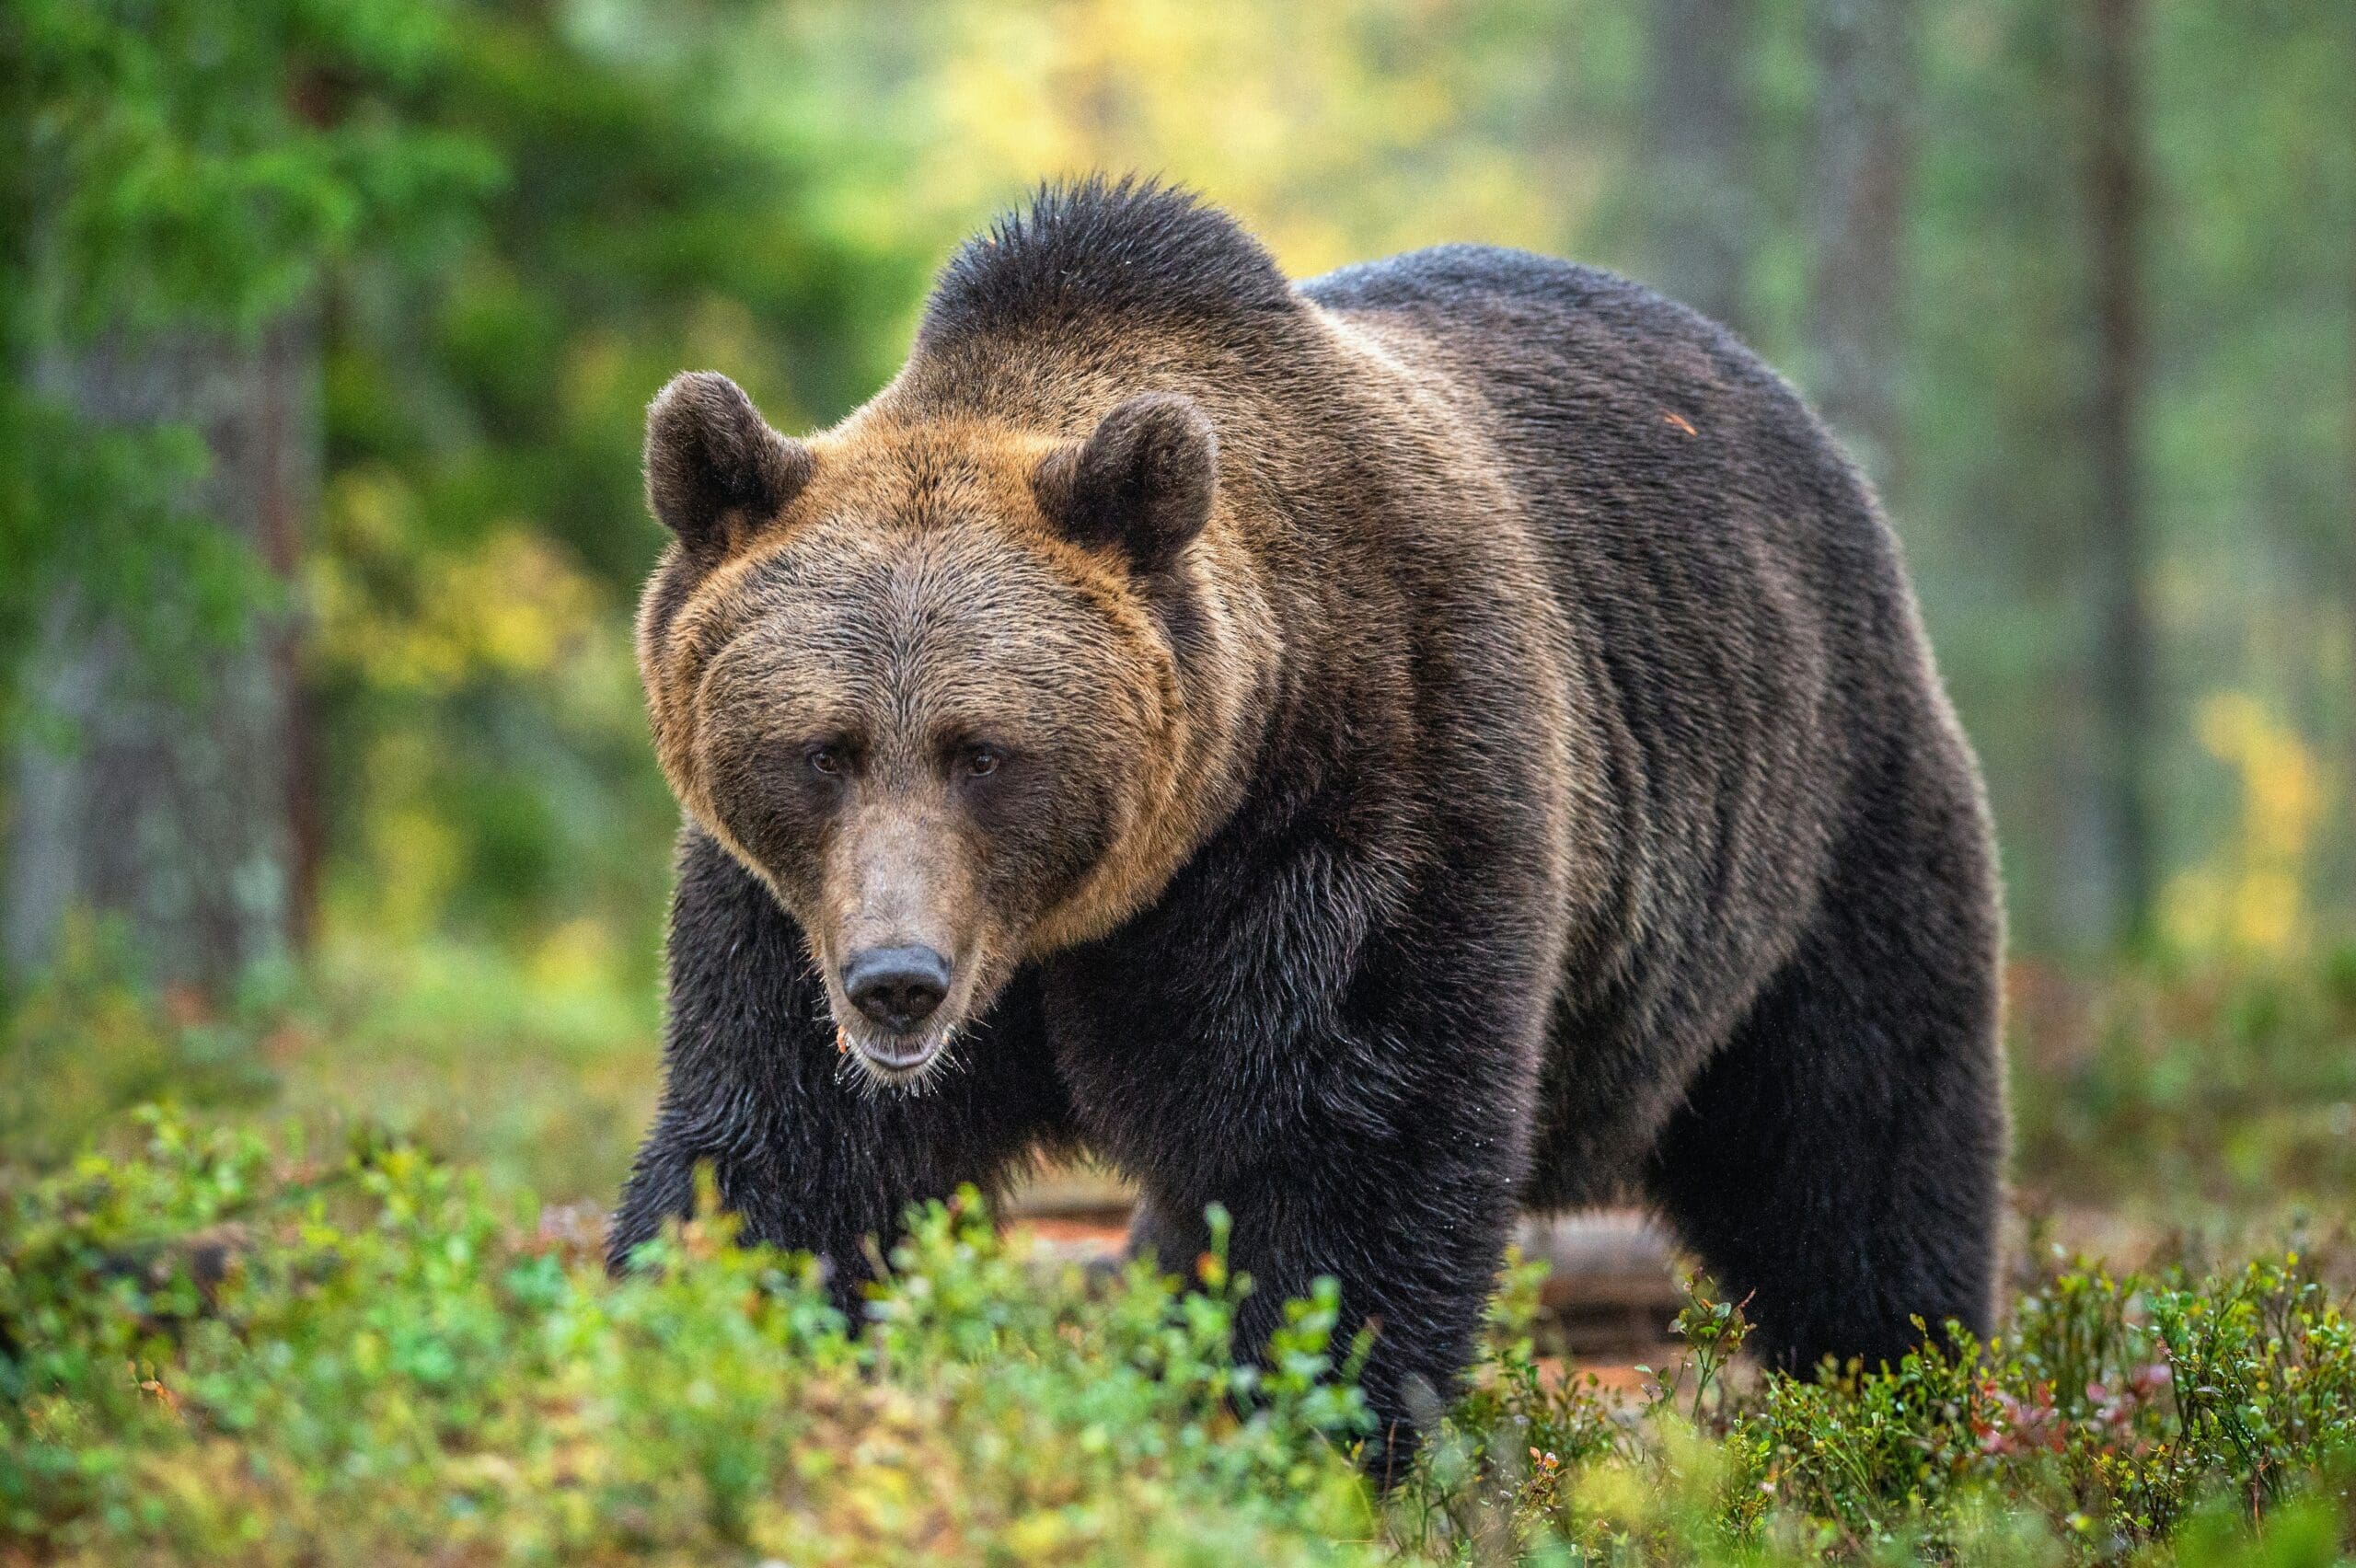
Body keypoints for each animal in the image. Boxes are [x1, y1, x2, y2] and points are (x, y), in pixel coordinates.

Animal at [612, 176, 2007, 1459]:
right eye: (822, 750)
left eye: (985, 753)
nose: (897, 980)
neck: (1091, 911)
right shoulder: (783, 910)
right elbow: (779, 1153)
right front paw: (695, 1348)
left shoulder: (1366, 802)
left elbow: (1347, 1154)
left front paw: (1295, 1427)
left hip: (1815, 823)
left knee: (1855, 1138)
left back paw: (1900, 1391)